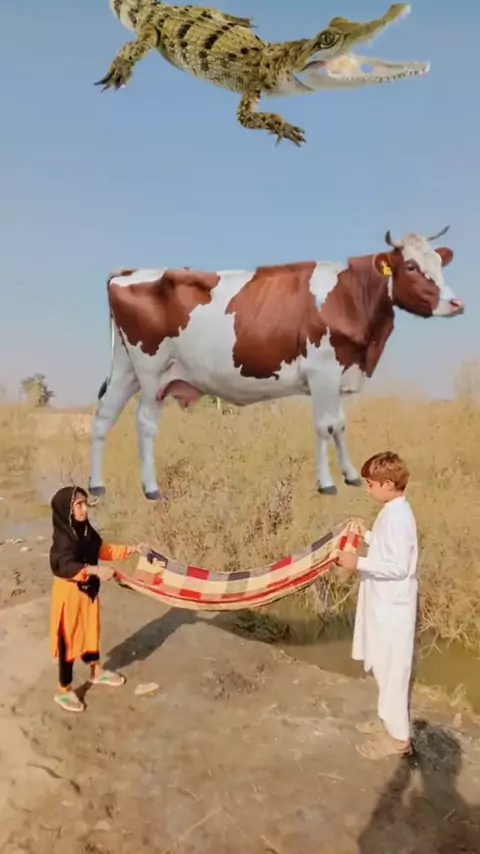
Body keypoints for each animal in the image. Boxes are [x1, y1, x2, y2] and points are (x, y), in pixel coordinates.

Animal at [88, 227, 464, 501]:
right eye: (411, 266)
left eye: (438, 264)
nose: (456, 303)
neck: (349, 295)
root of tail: (129, 272)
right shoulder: (322, 370)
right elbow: (324, 426)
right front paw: (327, 483)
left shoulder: (340, 371)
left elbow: (340, 425)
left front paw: (352, 476)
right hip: (152, 371)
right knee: (145, 424)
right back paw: (151, 489)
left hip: (126, 369)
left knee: (104, 417)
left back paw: (96, 486)